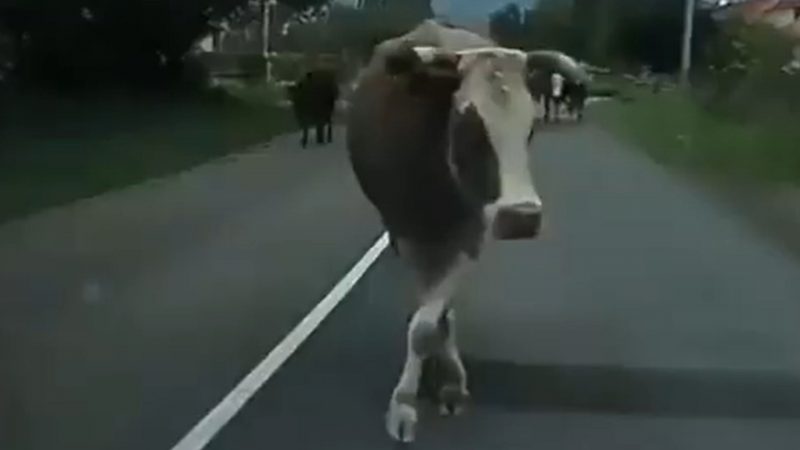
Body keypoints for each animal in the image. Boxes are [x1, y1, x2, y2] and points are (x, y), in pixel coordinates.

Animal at [346, 20, 589, 443]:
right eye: (468, 127)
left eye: (530, 129)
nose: (522, 216)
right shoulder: (404, 232)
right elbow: (422, 324)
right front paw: (405, 402)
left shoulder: (471, 233)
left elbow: (434, 318)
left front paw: (450, 383)